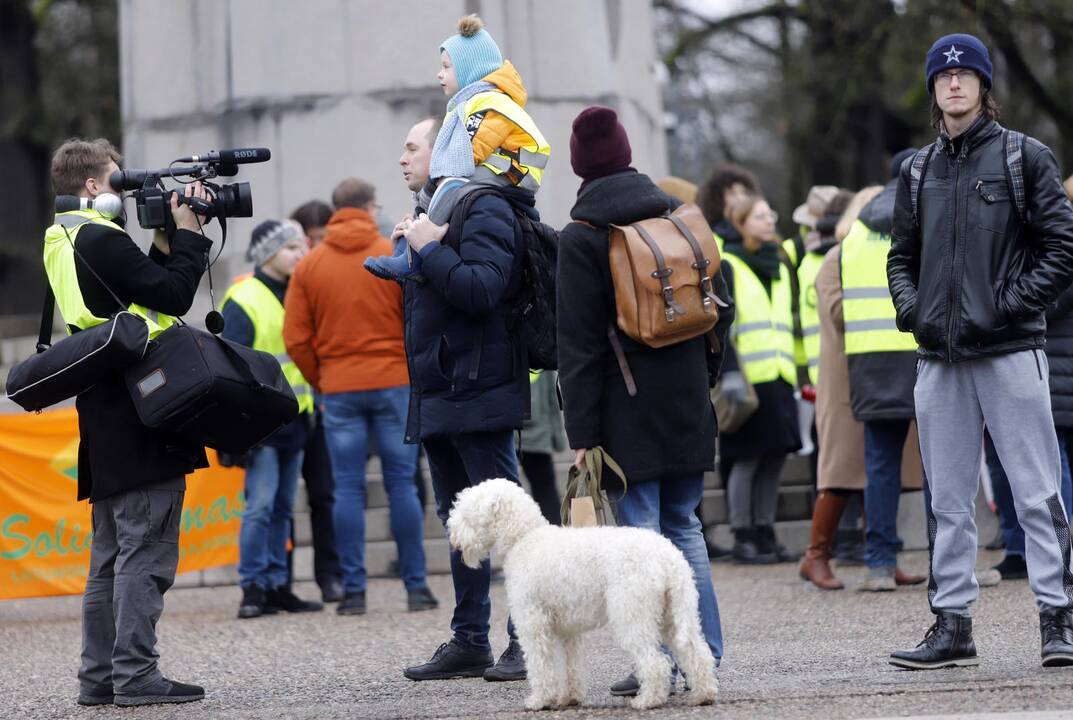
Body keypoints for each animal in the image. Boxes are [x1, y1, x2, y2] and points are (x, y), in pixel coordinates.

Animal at [448, 478, 716, 708]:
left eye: (467, 514)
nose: (453, 538)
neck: (524, 539)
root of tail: (669, 558)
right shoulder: (566, 631)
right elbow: (569, 666)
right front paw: (569, 698)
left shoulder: (534, 625)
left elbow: (541, 665)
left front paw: (539, 700)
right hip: (676, 613)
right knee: (697, 652)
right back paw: (703, 695)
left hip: (633, 616)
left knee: (656, 662)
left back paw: (647, 700)